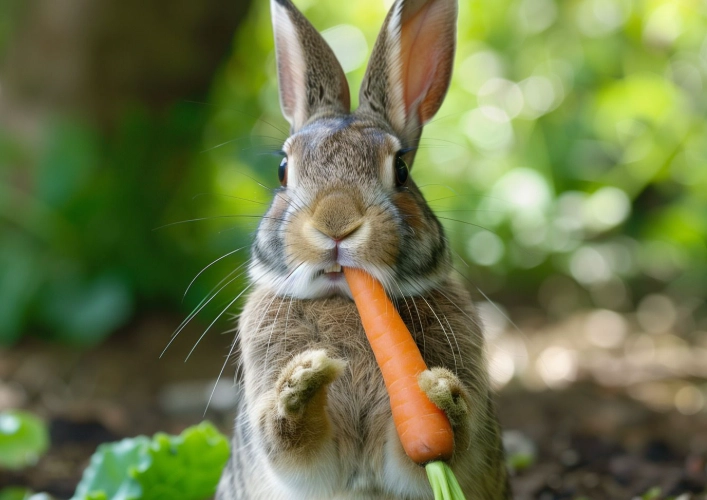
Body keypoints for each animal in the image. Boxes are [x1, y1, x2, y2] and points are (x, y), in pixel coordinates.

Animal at [216, 0, 511, 498]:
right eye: (282, 169)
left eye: (402, 170)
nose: (336, 224)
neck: (348, 302)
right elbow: (292, 444)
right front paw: (302, 381)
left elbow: (429, 447)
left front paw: (443, 394)